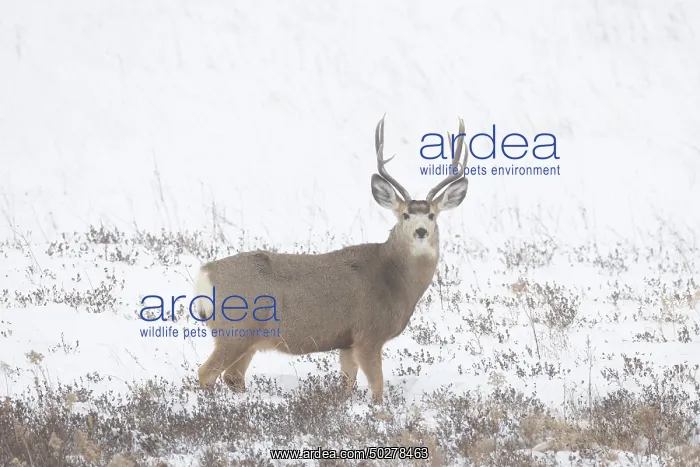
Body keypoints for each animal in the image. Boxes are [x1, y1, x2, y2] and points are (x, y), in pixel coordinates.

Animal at [194, 115, 470, 403]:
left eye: (432, 215)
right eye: (405, 215)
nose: (421, 231)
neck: (393, 279)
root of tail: (204, 275)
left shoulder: (346, 342)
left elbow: (347, 385)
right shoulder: (368, 334)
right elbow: (377, 388)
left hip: (249, 338)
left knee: (233, 377)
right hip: (235, 330)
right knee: (206, 373)